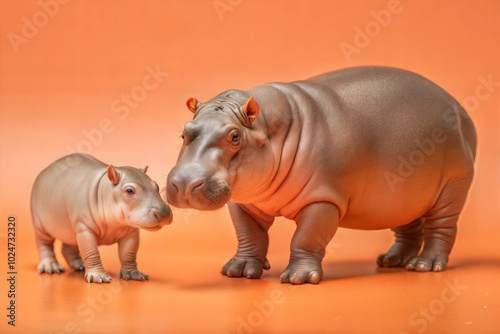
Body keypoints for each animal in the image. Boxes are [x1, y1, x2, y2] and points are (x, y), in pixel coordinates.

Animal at [31, 153, 172, 282]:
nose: (164, 212)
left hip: (71, 230)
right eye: (129, 190)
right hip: (40, 224)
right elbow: (91, 252)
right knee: (44, 244)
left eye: (156, 185)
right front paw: (98, 277)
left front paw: (134, 274)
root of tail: (44, 171)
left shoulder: (131, 232)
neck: (105, 189)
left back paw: (80, 265)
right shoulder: (84, 228)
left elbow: (129, 253)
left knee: (68, 247)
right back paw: (51, 268)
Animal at [166, 67, 474, 284]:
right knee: (409, 227)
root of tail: (461, 110)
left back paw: (424, 265)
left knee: (441, 229)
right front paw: (239, 271)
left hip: (451, 187)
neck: (267, 126)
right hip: (404, 195)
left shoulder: (323, 200)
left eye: (234, 136)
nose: (184, 184)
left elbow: (306, 238)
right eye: (184, 131)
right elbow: (249, 236)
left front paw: (298, 278)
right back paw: (391, 261)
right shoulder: (245, 203)